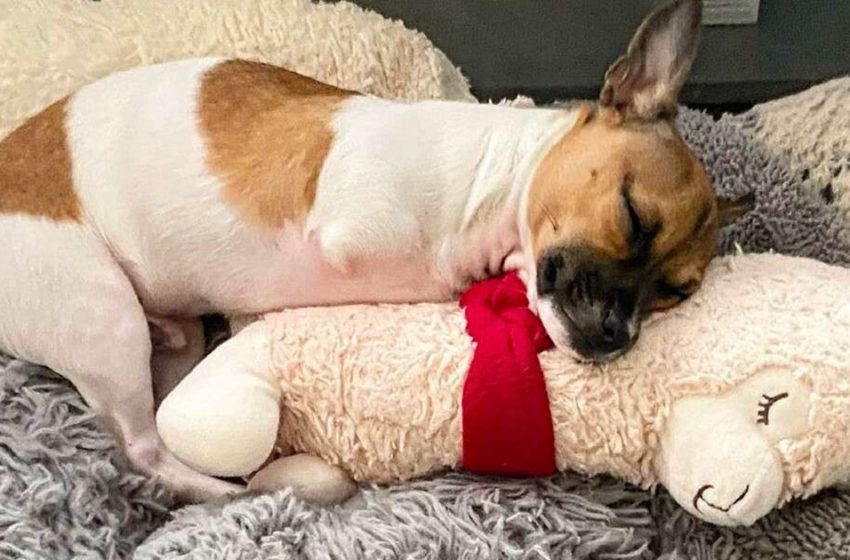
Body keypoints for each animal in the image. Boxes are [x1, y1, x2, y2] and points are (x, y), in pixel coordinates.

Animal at [0, 0, 744, 500]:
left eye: (675, 291)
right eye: (632, 218)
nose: (619, 334)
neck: (497, 182)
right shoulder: (365, 236)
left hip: (168, 337)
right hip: (103, 316)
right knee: (141, 448)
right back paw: (239, 491)